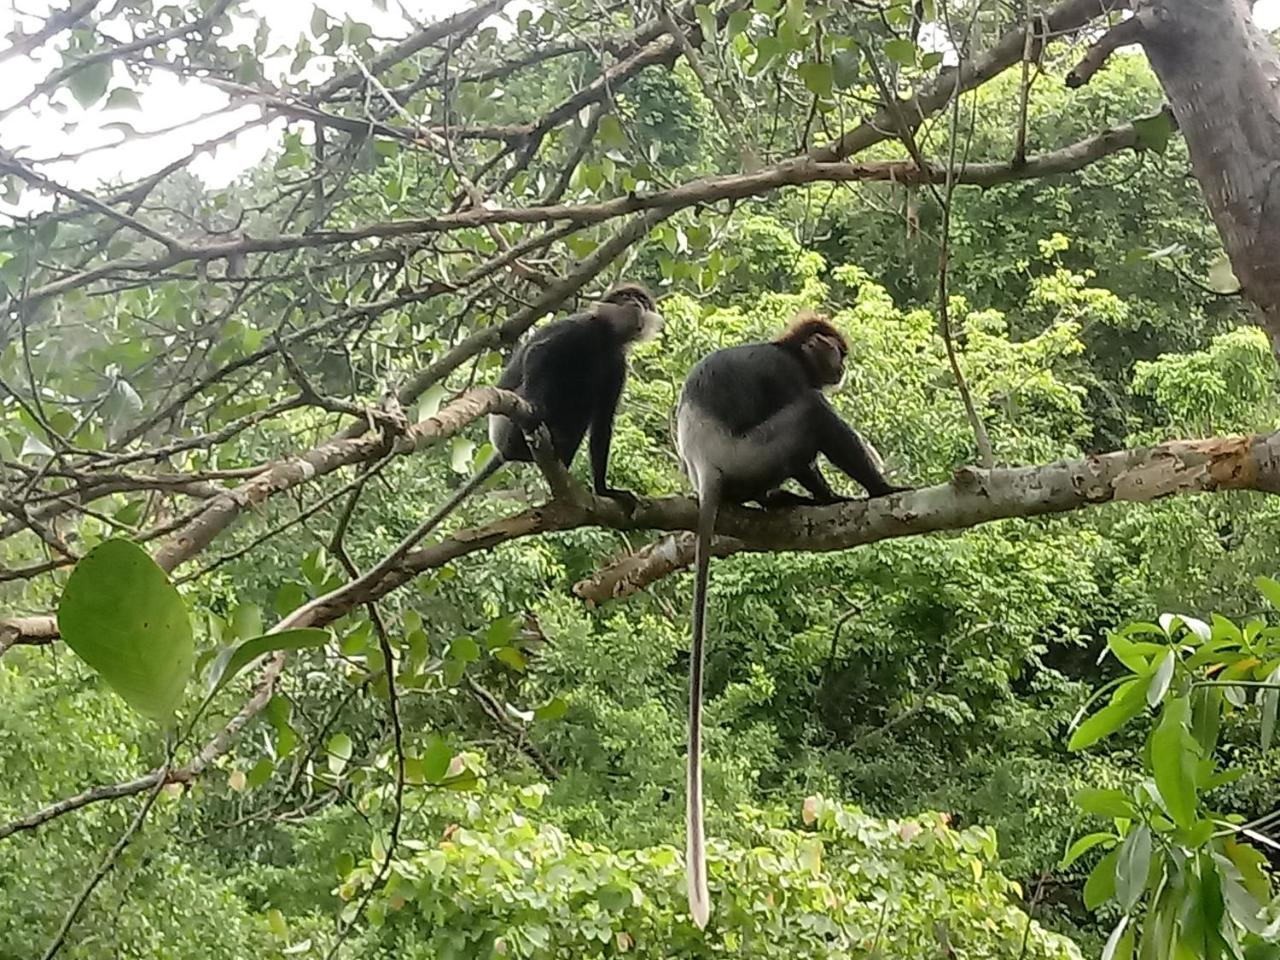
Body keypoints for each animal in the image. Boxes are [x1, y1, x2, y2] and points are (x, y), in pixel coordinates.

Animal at [675, 312, 906, 926]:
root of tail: (704, 469)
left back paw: (779, 502)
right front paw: (856, 491)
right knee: (812, 418)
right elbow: (809, 423)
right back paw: (854, 492)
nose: (843, 365)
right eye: (837, 352)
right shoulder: (784, 375)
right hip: (749, 457)